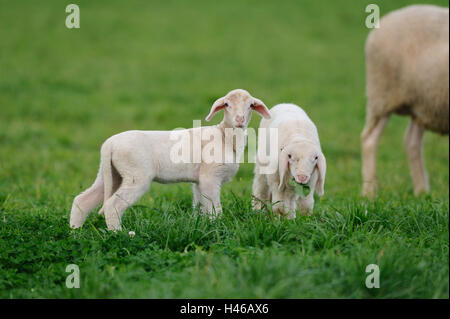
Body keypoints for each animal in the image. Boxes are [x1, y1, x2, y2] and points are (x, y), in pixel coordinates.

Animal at [68, 89, 268, 231]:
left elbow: (201, 206)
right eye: (226, 104)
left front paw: (204, 227)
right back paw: (119, 235)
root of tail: (109, 145)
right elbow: (214, 208)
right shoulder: (210, 177)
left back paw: (75, 232)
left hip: (109, 173)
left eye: (250, 105)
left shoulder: (199, 180)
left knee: (82, 200)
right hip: (135, 175)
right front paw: (218, 229)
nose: (240, 120)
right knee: (112, 206)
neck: (225, 137)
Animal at [360, 4, 448, 198]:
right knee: (369, 140)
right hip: (382, 95)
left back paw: (422, 192)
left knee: (412, 142)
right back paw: (370, 192)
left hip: (422, 102)